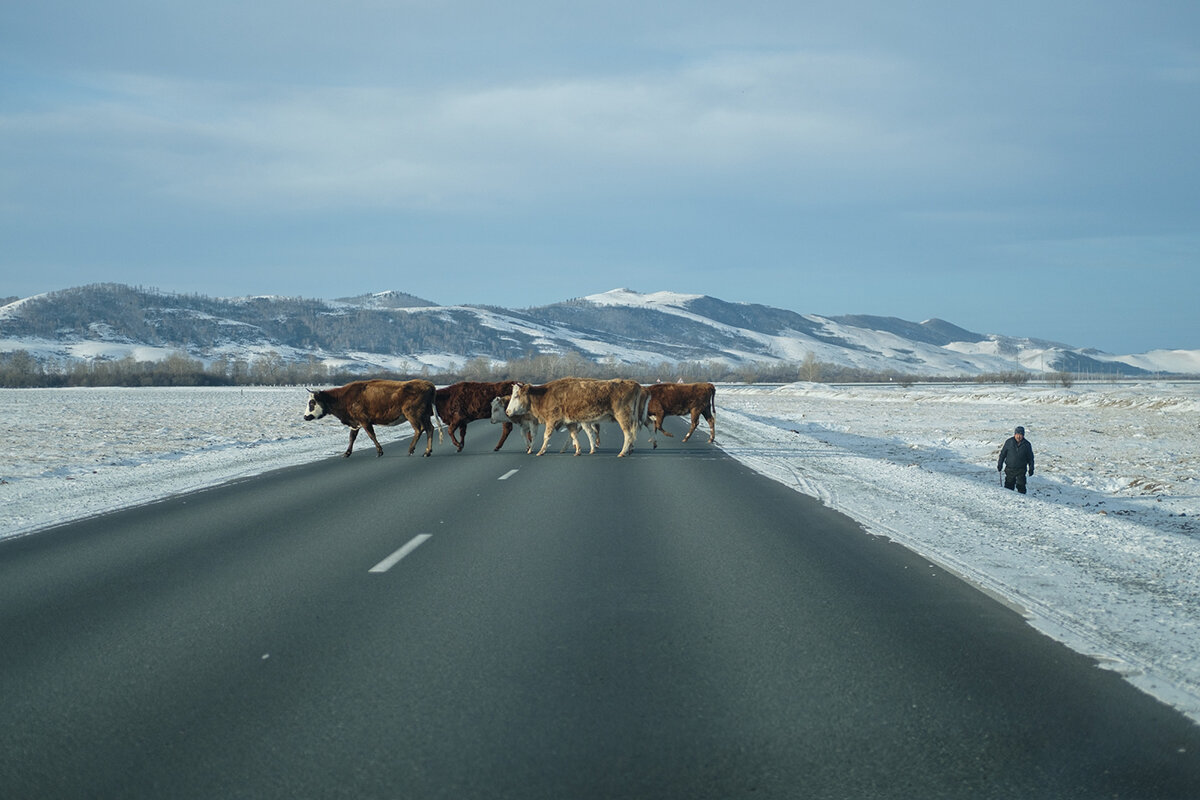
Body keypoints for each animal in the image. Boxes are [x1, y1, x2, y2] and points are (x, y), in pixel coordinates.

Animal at [304, 381, 441, 455]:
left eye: (312, 403)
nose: (305, 417)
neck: (344, 398)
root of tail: (428, 385)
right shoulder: (355, 424)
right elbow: (351, 438)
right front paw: (347, 453)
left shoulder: (365, 421)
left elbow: (371, 435)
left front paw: (379, 451)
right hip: (425, 416)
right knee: (430, 428)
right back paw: (427, 451)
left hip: (413, 415)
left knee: (419, 429)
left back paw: (411, 449)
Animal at [506, 381, 648, 455]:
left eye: (516, 396)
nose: (507, 411)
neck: (544, 395)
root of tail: (634, 384)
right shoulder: (570, 422)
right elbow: (574, 435)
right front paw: (578, 450)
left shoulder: (551, 420)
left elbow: (546, 436)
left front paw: (540, 451)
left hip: (623, 417)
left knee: (628, 434)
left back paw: (622, 452)